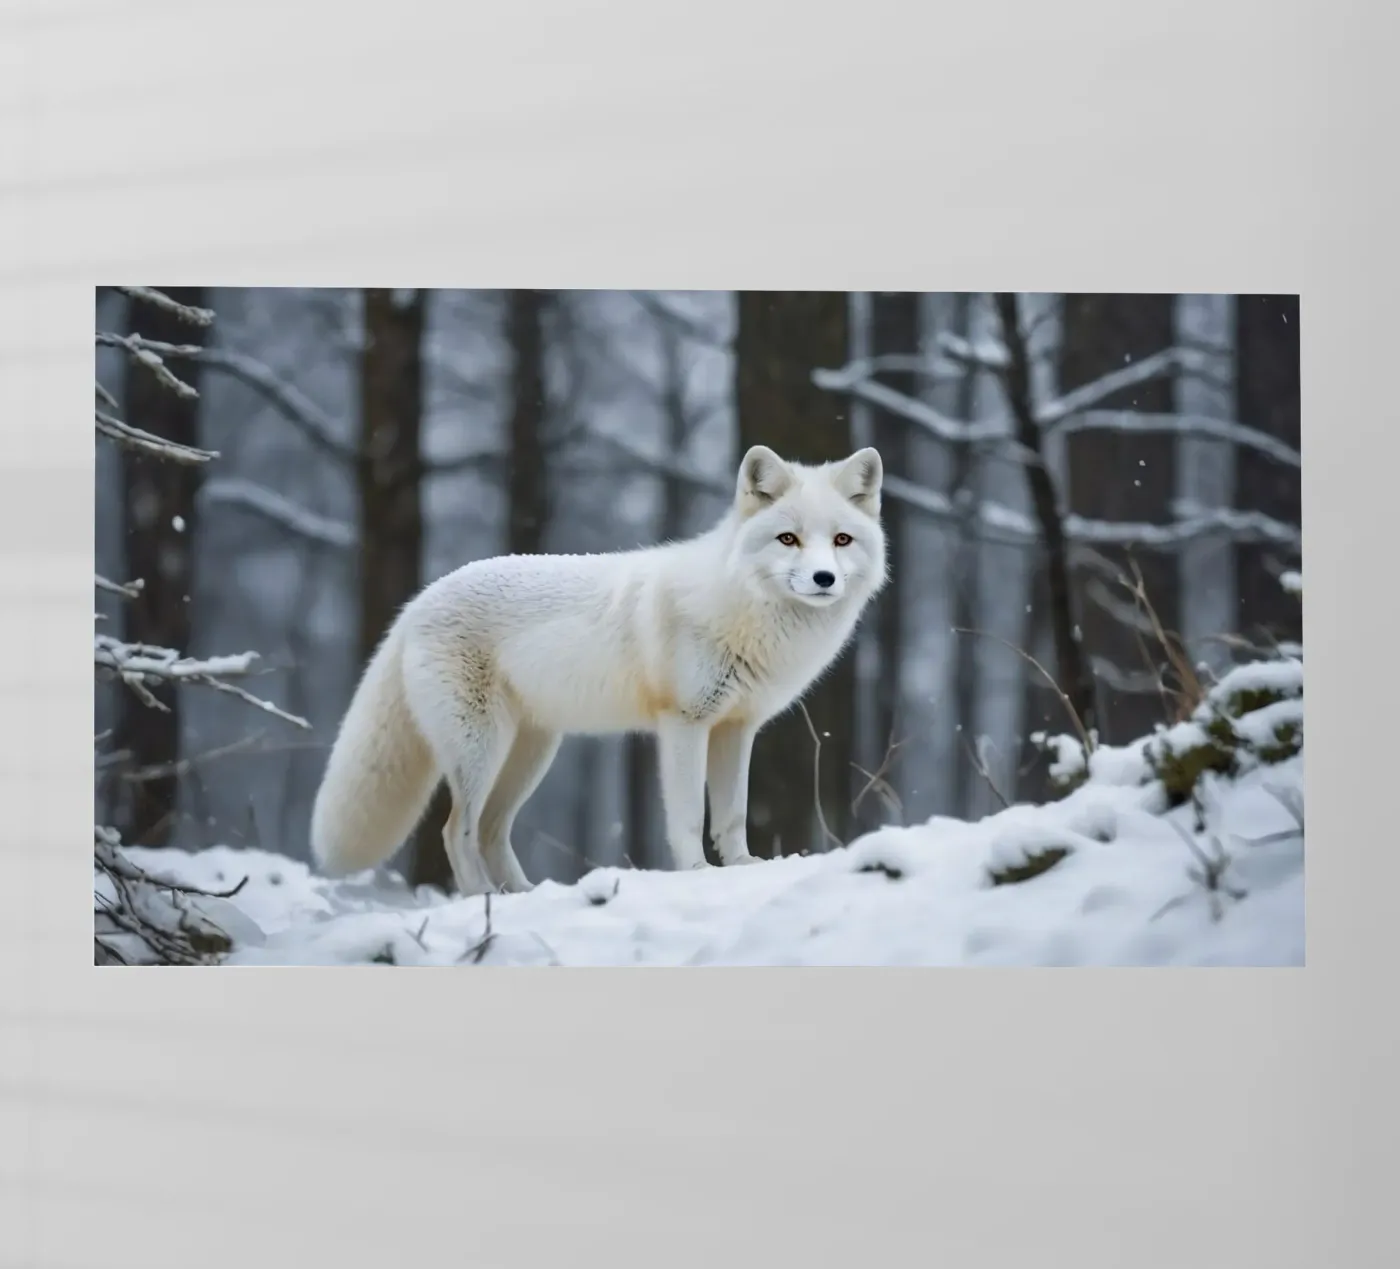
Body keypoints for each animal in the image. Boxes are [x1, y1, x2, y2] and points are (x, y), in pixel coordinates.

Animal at [309, 443, 887, 896]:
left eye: (841, 540)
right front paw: (697, 873)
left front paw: (744, 868)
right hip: (481, 749)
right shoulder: (684, 724)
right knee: (456, 831)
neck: (739, 608)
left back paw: (522, 893)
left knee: (492, 831)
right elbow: (688, 817)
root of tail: (419, 600)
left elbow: (733, 816)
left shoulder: (736, 728)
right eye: (788, 539)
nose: (823, 578)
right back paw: (483, 899)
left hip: (530, 754)